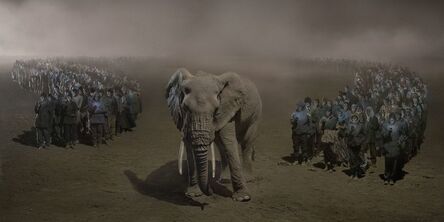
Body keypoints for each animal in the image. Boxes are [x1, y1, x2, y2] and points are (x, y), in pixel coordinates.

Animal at [167, 67, 264, 201]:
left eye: (216, 110)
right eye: (185, 108)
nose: (211, 191)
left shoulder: (227, 108)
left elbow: (229, 141)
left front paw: (243, 198)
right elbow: (189, 146)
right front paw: (193, 194)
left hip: (256, 113)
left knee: (246, 142)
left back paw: (248, 179)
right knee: (221, 147)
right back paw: (224, 180)